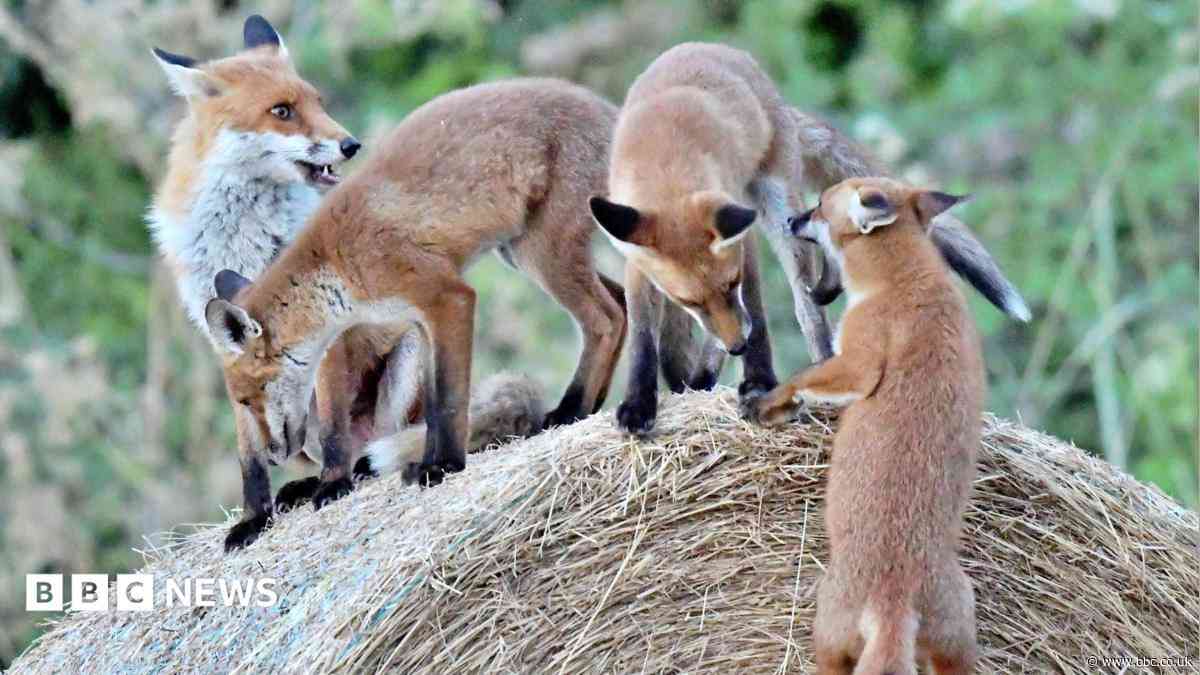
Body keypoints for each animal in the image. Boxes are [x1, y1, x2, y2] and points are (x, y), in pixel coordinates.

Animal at [149, 16, 543, 551]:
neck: (246, 237)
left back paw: (356, 472)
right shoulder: (227, 344)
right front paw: (254, 518)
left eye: (319, 102)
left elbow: (333, 425)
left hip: (409, 358)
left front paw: (333, 486)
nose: (352, 144)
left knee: (375, 441)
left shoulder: (327, 321)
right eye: (282, 111)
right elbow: (248, 454)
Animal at [202, 79, 627, 495]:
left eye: (248, 399)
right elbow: (434, 408)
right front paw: (427, 460)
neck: (337, 264)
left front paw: (444, 466)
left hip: (542, 253)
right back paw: (590, 408)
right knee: (620, 300)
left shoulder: (450, 298)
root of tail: (612, 109)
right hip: (522, 252)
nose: (274, 458)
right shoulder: (421, 320)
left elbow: (450, 401)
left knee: (605, 319)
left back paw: (571, 410)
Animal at [744, 177, 983, 675]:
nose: (789, 219)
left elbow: (805, 377)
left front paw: (768, 405)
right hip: (957, 645)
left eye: (818, 205)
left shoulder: (859, 361)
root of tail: (895, 600)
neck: (909, 278)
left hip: (827, 635)